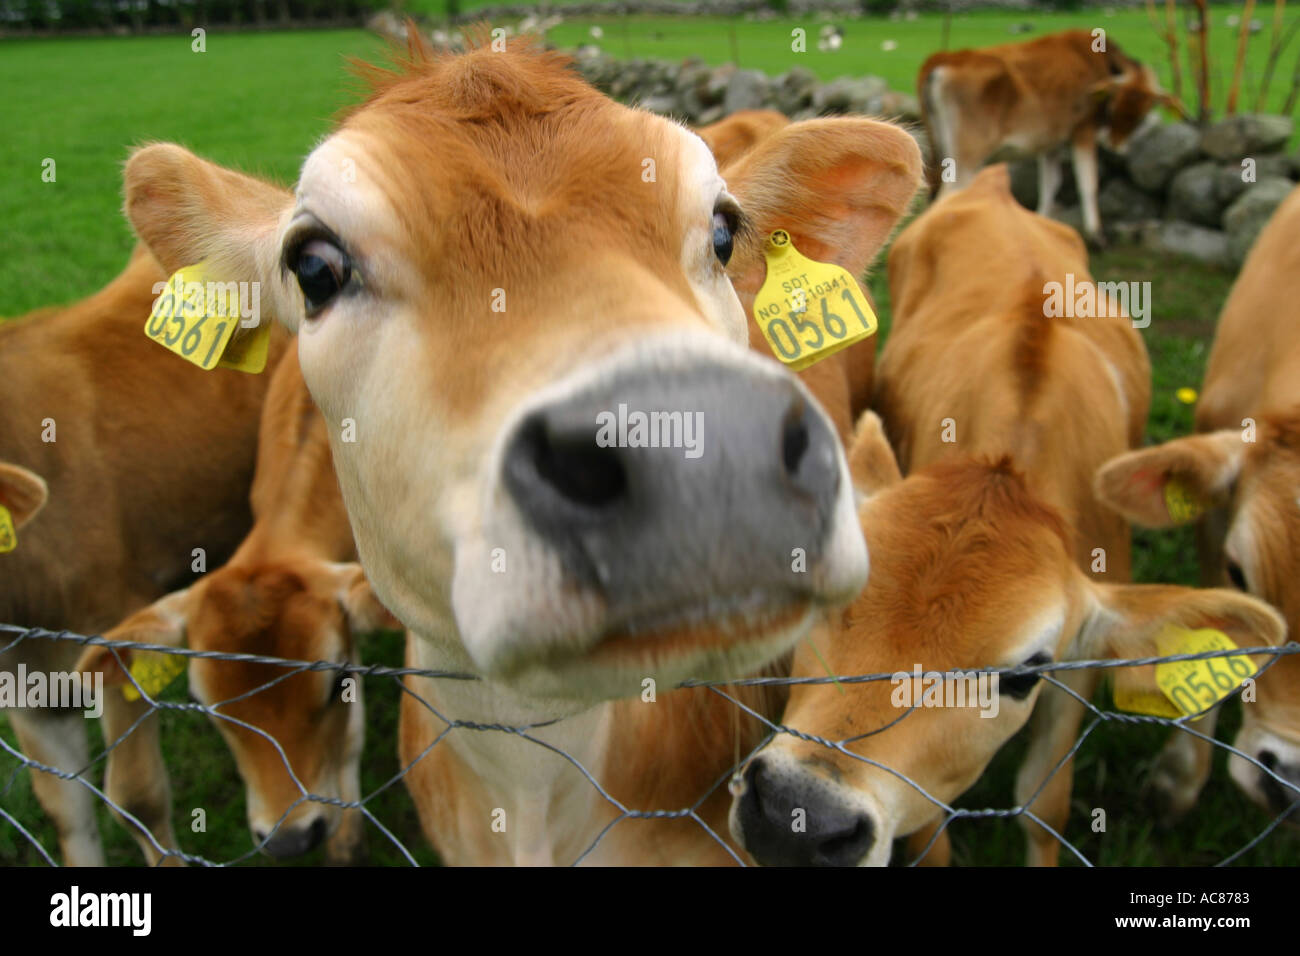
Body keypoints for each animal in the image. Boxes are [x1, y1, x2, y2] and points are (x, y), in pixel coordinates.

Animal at [919, 29, 1179, 244]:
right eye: (1116, 104)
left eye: (1141, 113)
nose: (1116, 146)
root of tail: (946, 57)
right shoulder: (1083, 130)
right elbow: (1088, 182)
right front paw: (1096, 235)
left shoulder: (1051, 142)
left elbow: (1050, 185)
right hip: (966, 159)